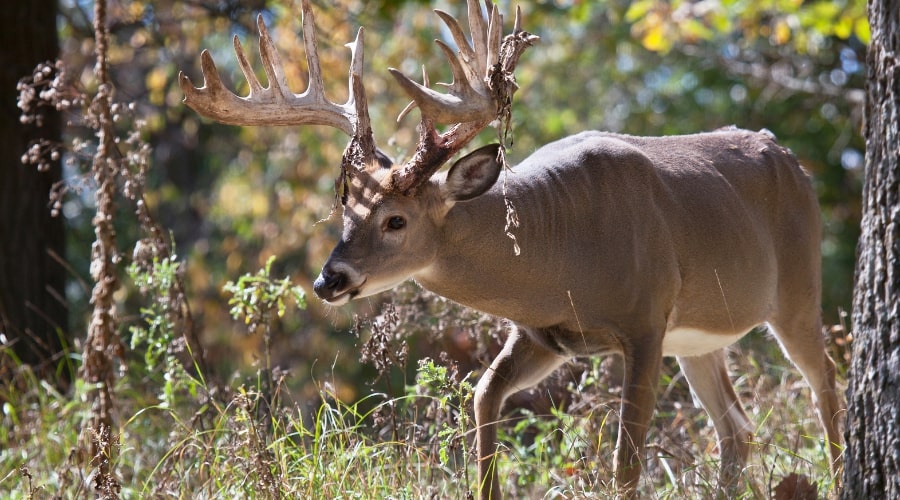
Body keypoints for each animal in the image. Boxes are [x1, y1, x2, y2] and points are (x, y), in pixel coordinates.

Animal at [181, 1, 844, 498]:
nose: (329, 280)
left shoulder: (645, 320)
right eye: (346, 209)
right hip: (698, 339)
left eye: (396, 220)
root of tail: (793, 160)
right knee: (738, 427)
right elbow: (482, 398)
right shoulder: (542, 333)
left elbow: (625, 460)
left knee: (826, 383)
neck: (563, 254)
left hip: (797, 290)